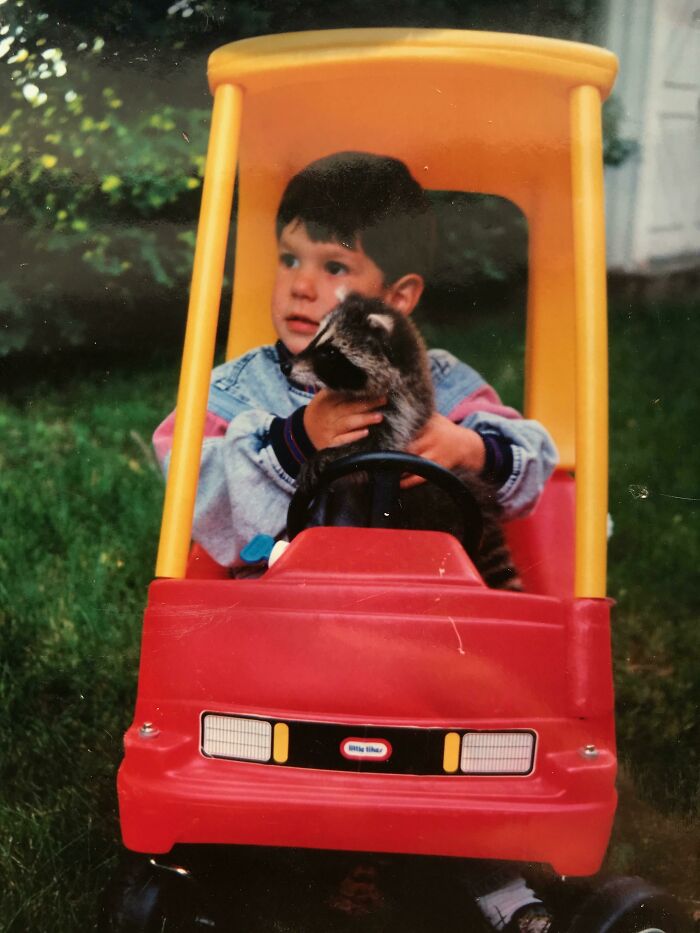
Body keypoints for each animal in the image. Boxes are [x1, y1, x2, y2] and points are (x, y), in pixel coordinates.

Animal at [290, 293, 522, 591]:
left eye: (330, 353)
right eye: (315, 338)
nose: (287, 366)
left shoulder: (401, 412)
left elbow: (374, 449)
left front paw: (328, 454)